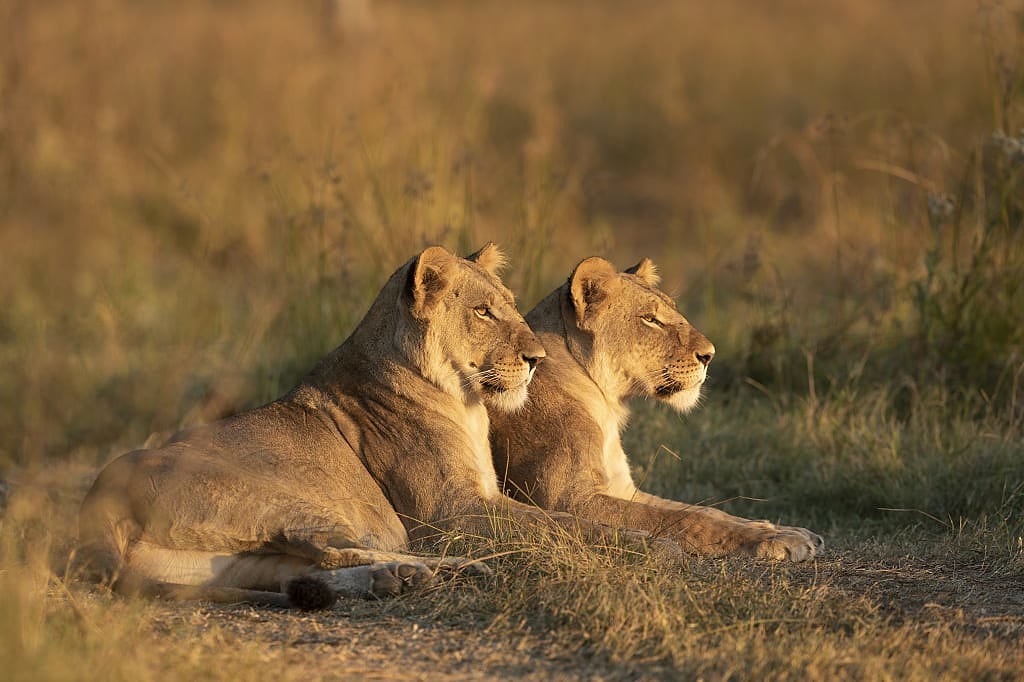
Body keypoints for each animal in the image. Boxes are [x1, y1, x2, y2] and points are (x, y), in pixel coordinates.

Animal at [78, 244, 668, 611]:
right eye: (482, 312)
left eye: (511, 308)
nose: (537, 359)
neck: (466, 401)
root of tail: (97, 496)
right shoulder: (450, 512)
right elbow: (561, 524)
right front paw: (644, 544)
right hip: (278, 501)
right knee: (334, 548)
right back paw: (455, 570)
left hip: (221, 565)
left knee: (301, 568)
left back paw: (401, 579)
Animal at [490, 256, 824, 562]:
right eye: (650, 319)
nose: (710, 355)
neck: (606, 406)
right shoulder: (567, 500)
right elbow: (686, 519)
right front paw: (777, 541)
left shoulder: (623, 487)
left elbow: (705, 510)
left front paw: (781, 529)